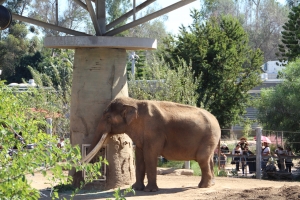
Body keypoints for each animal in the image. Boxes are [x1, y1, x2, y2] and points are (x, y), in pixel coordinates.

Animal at [84, 97, 220, 192]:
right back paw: (212, 183)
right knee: (209, 159)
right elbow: (139, 155)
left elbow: (149, 155)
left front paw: (150, 190)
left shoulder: (154, 131)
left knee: (202, 158)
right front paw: (136, 188)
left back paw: (203, 186)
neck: (134, 102)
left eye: (107, 117)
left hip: (209, 136)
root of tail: (216, 120)